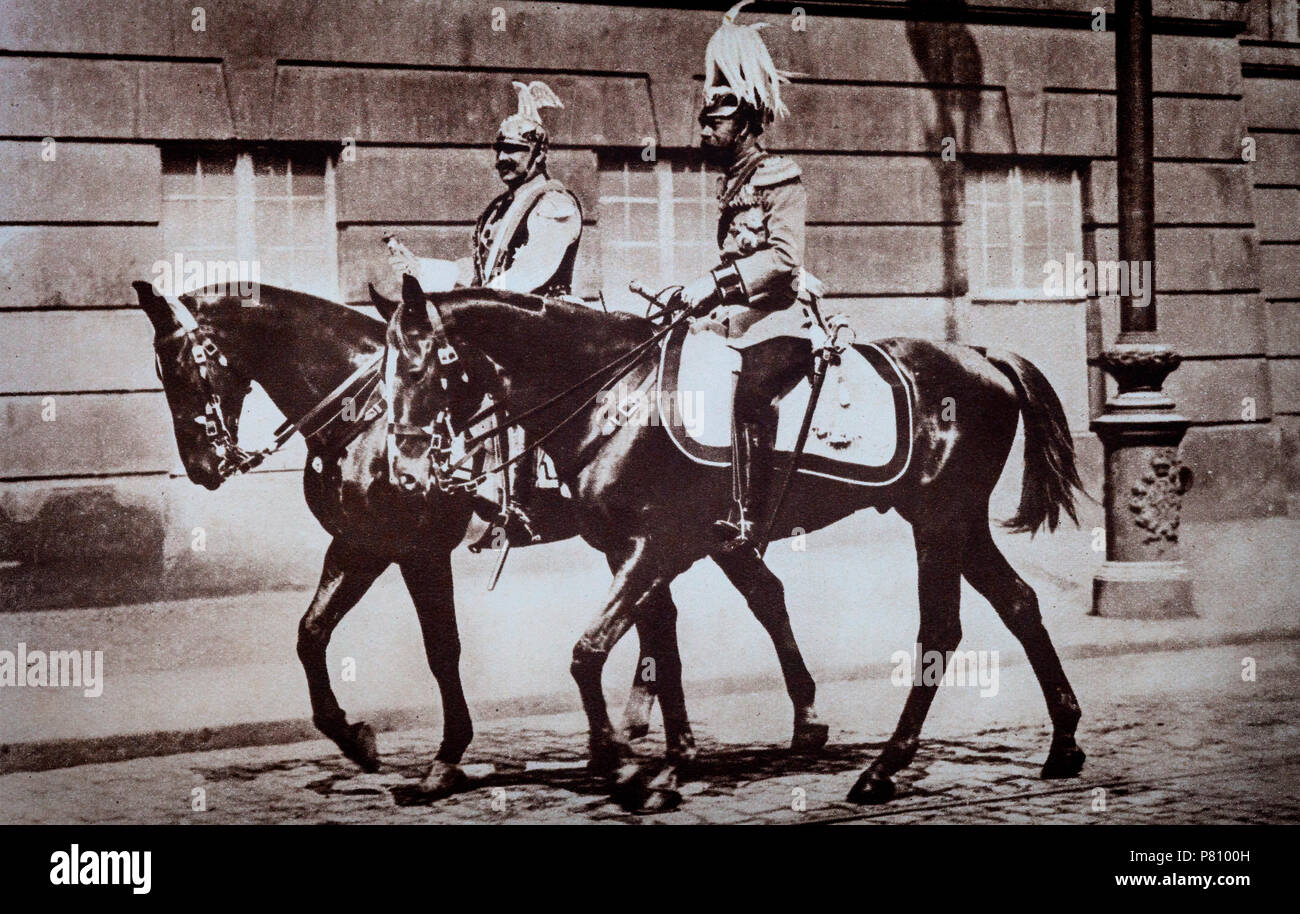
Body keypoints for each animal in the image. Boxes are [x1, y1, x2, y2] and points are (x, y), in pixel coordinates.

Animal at [131, 280, 832, 800]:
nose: (202, 466)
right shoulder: (360, 545)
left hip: (692, 534)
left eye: (187, 369)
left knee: (747, 601)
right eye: (159, 373)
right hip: (692, 536)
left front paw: (445, 760)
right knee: (719, 605)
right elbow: (310, 635)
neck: (363, 419)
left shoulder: (416, 550)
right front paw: (356, 739)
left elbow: (442, 649)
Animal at [384, 276, 1086, 806]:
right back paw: (1063, 744)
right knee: (1019, 603)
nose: (404, 469)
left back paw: (882, 769)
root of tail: (984, 357)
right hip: (960, 523)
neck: (614, 395)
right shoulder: (630, 551)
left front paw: (622, 764)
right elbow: (662, 650)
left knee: (939, 630)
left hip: (939, 521)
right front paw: (669, 765)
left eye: (418, 367)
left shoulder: (655, 546)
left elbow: (589, 652)